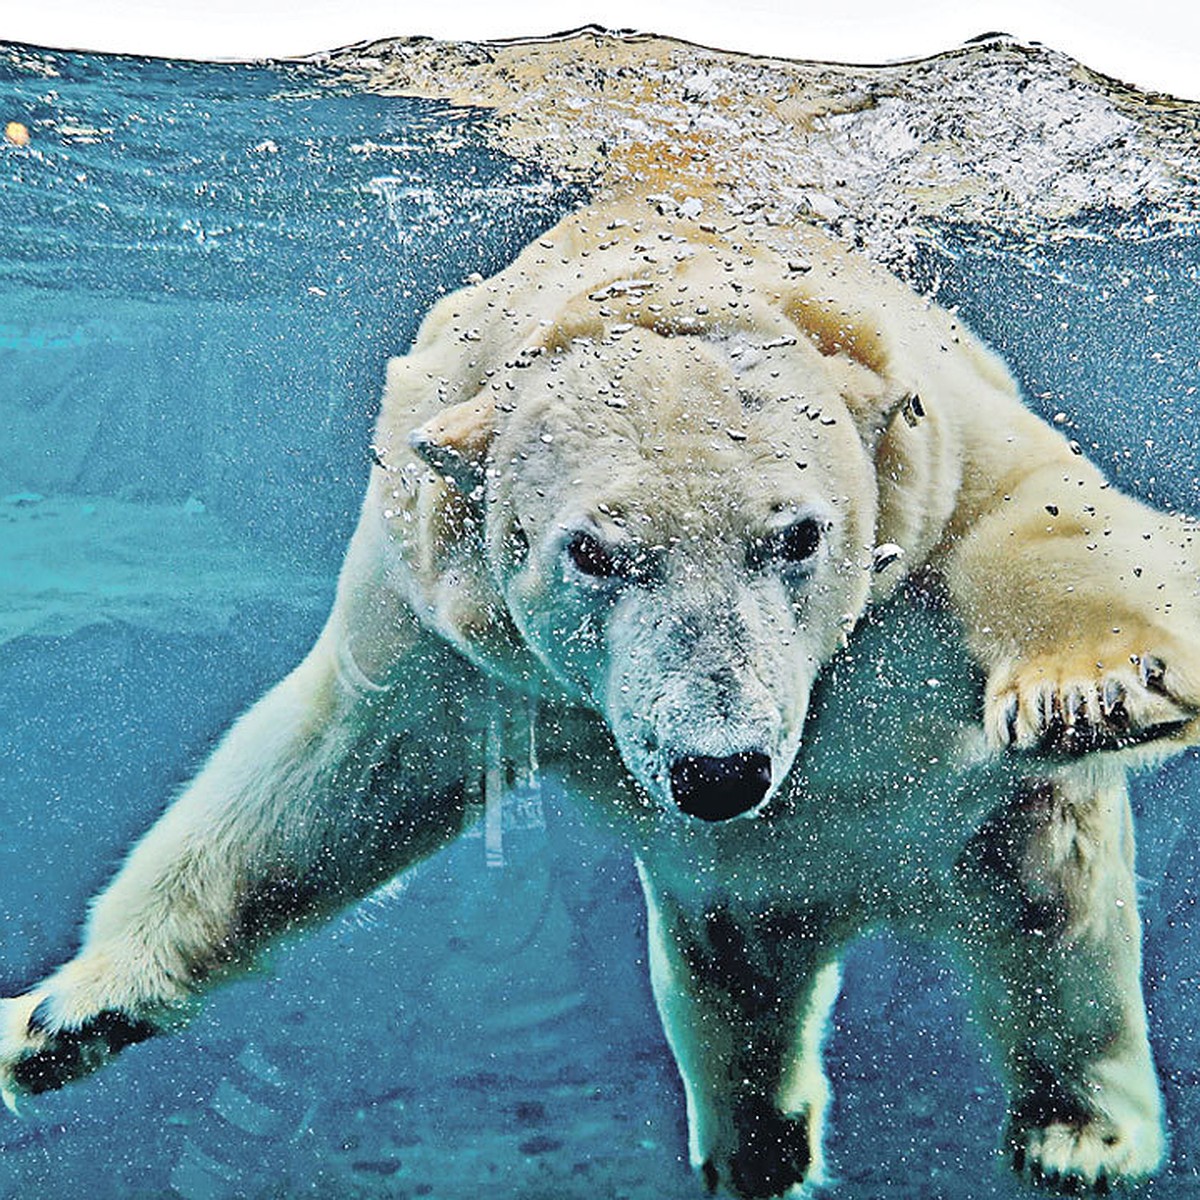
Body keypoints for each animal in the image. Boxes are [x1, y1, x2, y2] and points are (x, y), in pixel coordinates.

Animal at [2, 192, 1200, 1195]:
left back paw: (1079, 1136)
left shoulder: (934, 454)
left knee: (1055, 938)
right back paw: (754, 1147)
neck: (668, 273)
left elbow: (1045, 521)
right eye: (594, 552)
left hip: (998, 832)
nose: (721, 772)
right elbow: (341, 772)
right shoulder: (454, 617)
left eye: (798, 534)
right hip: (732, 900)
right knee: (736, 994)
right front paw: (61, 1015)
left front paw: (1091, 691)